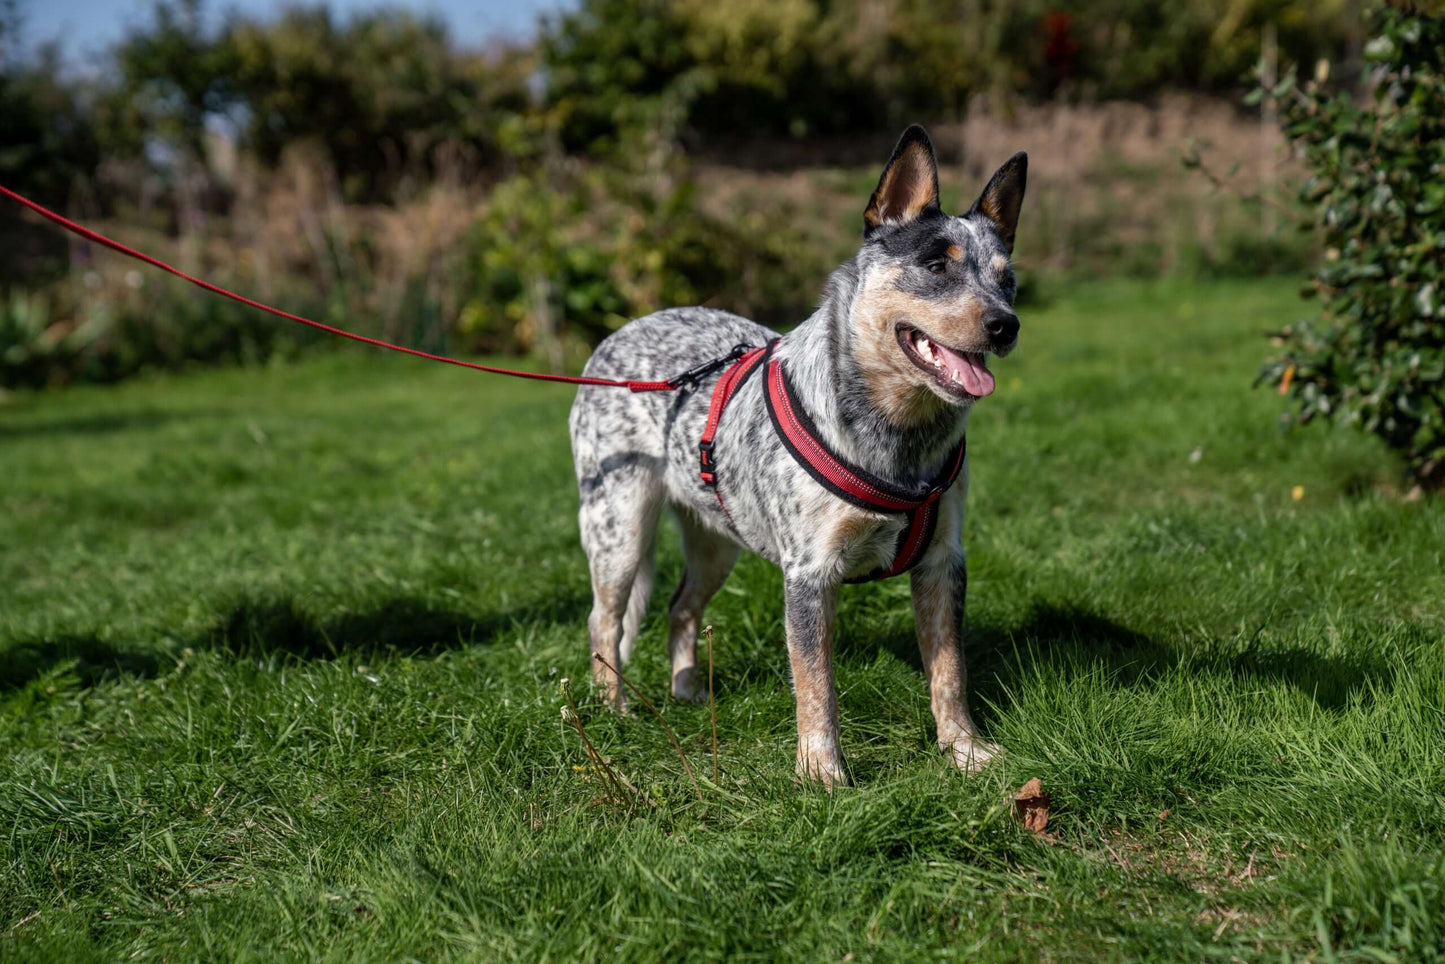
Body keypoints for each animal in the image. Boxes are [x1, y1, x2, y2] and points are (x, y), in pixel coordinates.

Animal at [566, 124, 1028, 786]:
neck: (899, 439)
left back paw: (687, 691)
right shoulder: (809, 573)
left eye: (1007, 278)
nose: (1005, 324)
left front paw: (964, 751)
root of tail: (617, 333)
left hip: (717, 538)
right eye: (937, 265)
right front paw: (823, 775)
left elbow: (949, 671)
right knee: (604, 621)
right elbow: (816, 684)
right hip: (619, 529)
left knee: (681, 607)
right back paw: (615, 710)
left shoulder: (944, 562)